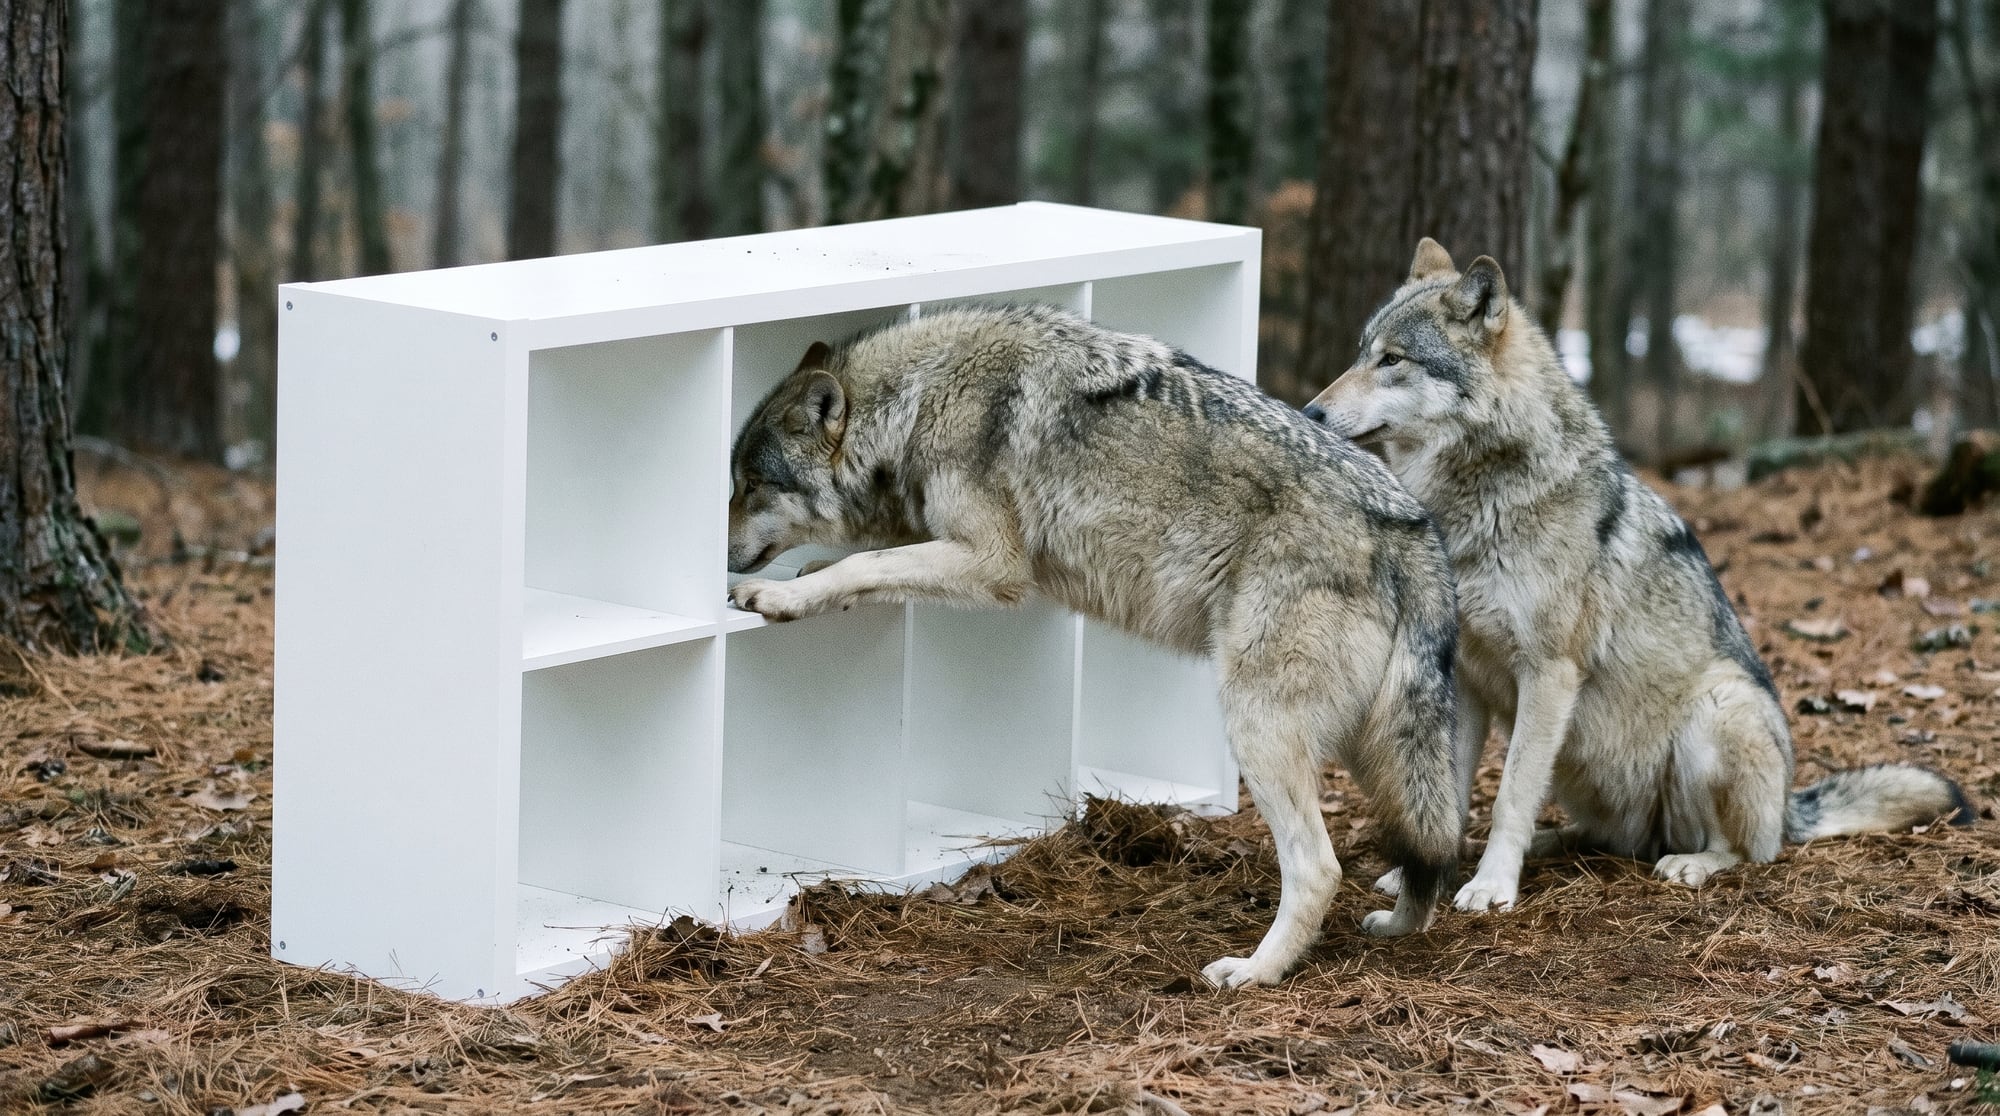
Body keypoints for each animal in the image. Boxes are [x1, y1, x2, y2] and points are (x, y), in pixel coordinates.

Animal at [726, 303, 1463, 987]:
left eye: (751, 486)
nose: (719, 554)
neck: (920, 400)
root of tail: (1410, 522)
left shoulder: (992, 563)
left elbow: (868, 562)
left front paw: (778, 597)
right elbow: (864, 566)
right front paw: (809, 583)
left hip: (1259, 728)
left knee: (1319, 868)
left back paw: (1255, 971)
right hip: (1372, 747)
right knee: (1426, 844)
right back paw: (1399, 923)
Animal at [1304, 238, 1974, 914]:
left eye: (1392, 360)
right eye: (1361, 353)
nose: (1310, 410)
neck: (1481, 499)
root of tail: (1790, 808)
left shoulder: (1549, 673)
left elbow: (1509, 796)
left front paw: (1490, 886)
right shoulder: (1465, 678)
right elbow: (1457, 790)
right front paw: (1427, 878)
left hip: (1715, 713)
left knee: (1744, 851)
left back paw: (1689, 864)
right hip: (1586, 772)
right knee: (1607, 836)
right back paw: (1556, 844)